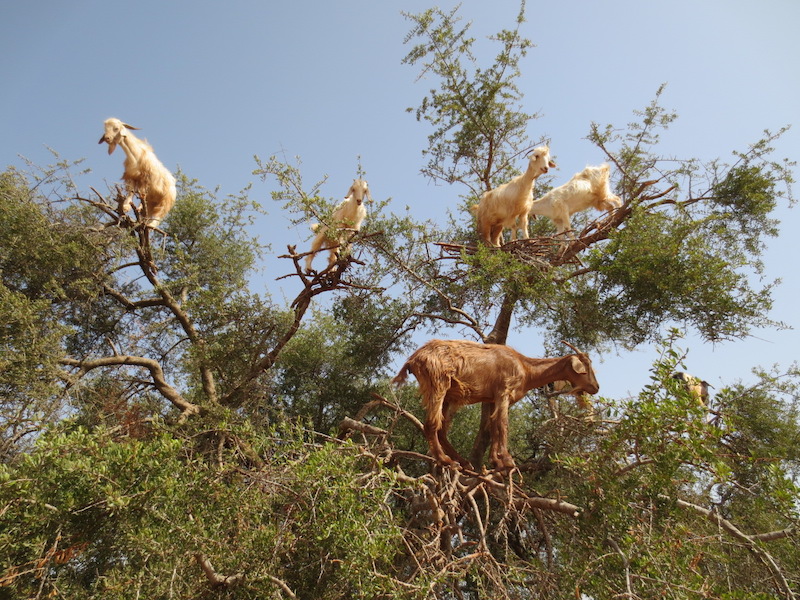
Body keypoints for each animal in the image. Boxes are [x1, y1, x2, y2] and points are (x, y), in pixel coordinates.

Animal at [390, 340, 596, 472]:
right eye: (585, 369)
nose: (596, 387)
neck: (525, 367)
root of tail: (413, 359)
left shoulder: (491, 399)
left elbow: (492, 426)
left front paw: (495, 461)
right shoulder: (503, 391)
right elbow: (503, 424)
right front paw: (508, 460)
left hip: (448, 395)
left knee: (441, 429)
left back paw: (464, 462)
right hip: (438, 383)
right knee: (431, 424)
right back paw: (446, 461)